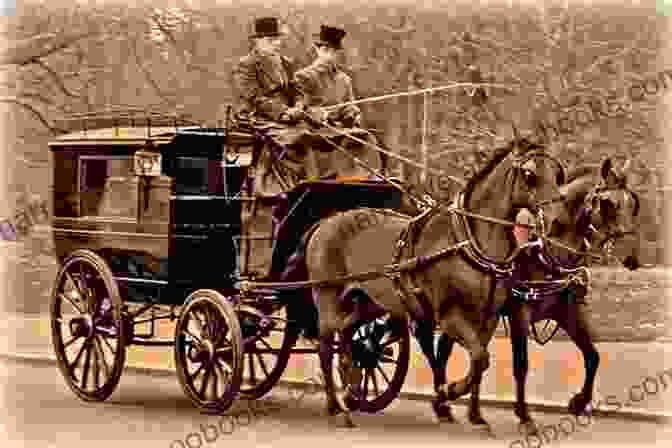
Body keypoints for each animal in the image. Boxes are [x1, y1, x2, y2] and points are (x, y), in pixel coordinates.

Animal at [302, 136, 564, 428]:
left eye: (557, 174)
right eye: (530, 174)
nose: (557, 220)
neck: (468, 241)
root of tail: (324, 222)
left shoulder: (489, 317)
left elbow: (479, 360)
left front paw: (452, 402)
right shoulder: (450, 316)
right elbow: (478, 357)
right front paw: (448, 392)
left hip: (368, 301)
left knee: (348, 333)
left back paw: (351, 390)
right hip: (327, 297)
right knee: (326, 347)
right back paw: (335, 407)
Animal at [436, 158, 640, 434]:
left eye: (633, 203)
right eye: (608, 203)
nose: (632, 257)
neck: (547, 249)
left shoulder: (567, 311)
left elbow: (592, 356)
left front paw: (579, 402)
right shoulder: (519, 312)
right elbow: (521, 364)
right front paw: (525, 416)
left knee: (471, 353)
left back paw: (472, 414)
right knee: (446, 351)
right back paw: (444, 405)